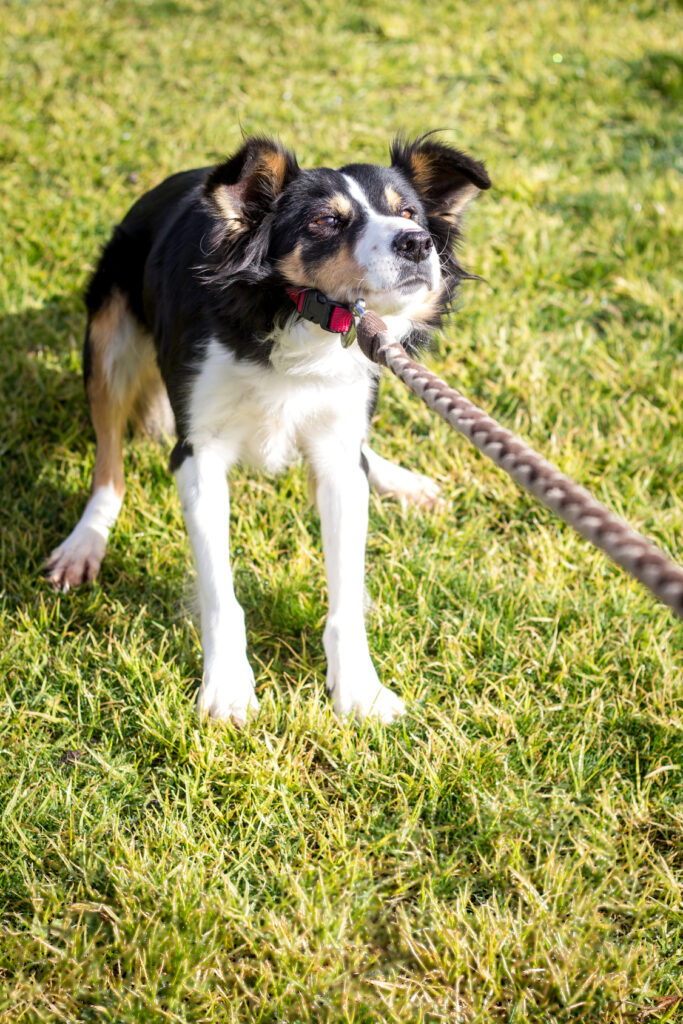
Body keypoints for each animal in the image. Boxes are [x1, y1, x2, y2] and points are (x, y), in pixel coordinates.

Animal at [44, 132, 491, 724]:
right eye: (325, 221)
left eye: (408, 213)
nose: (418, 243)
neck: (294, 312)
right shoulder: (199, 453)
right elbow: (220, 592)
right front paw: (228, 690)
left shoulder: (337, 455)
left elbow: (346, 588)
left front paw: (360, 691)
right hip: (108, 334)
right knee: (109, 463)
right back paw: (85, 542)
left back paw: (398, 479)